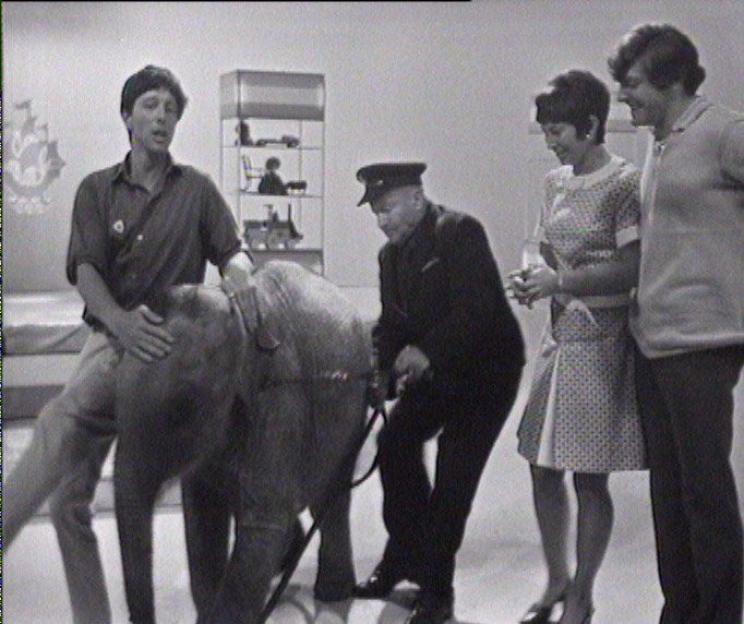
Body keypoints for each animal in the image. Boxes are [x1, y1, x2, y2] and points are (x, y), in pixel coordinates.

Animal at [112, 260, 370, 624]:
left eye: (181, 410)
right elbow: (202, 519)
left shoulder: (280, 396)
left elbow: (262, 521)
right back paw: (290, 557)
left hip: (352, 411)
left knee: (330, 497)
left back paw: (332, 593)